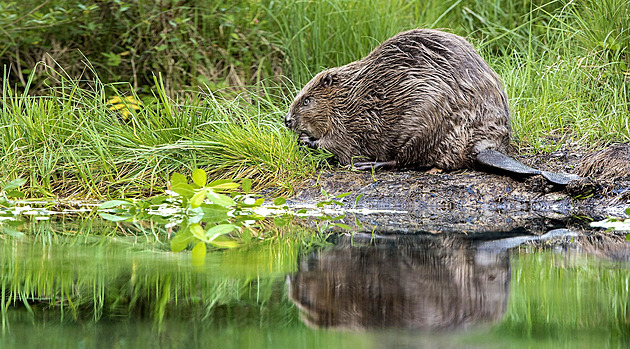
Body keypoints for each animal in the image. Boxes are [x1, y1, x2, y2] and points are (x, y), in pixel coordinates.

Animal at [286, 29, 584, 185]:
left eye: (307, 100)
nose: (287, 120)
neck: (351, 94)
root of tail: (485, 147)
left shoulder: (351, 123)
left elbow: (338, 145)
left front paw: (308, 141)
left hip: (424, 119)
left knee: (404, 160)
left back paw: (367, 165)